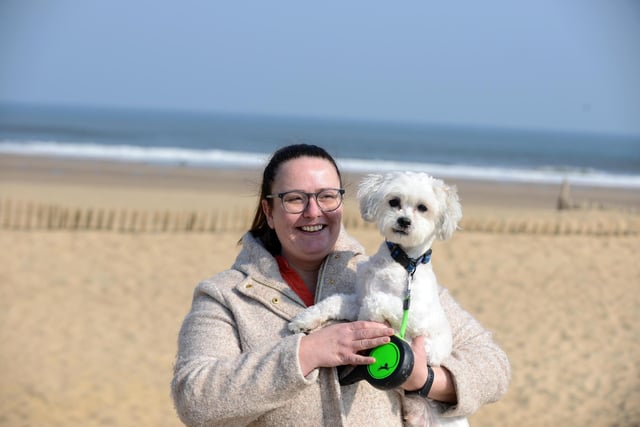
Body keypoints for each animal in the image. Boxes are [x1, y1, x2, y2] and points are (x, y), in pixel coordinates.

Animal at [292, 171, 468, 427]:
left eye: (422, 208)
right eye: (394, 202)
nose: (404, 221)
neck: (403, 263)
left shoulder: (416, 315)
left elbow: (378, 301)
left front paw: (371, 320)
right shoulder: (356, 299)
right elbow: (334, 301)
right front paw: (305, 319)